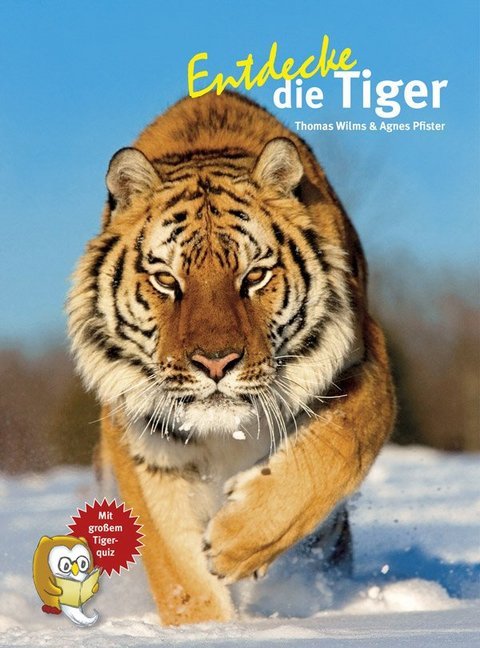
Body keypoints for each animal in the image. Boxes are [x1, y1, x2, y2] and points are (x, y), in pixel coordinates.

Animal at [67, 91, 396, 626]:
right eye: (166, 280)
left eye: (254, 276)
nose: (216, 363)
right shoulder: (139, 431)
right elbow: (176, 566)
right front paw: (205, 626)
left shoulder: (365, 360)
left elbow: (338, 446)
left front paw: (234, 542)